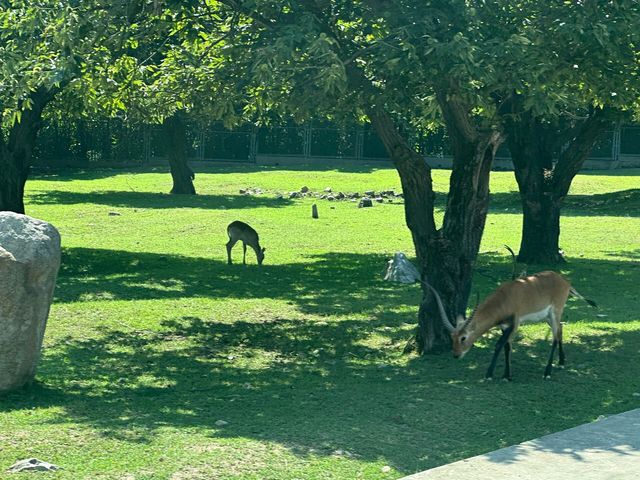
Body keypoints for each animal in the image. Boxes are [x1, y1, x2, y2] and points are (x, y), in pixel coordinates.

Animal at [428, 272, 596, 380]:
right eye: (452, 337)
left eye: (463, 337)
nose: (456, 355)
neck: (504, 298)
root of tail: (564, 280)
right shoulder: (504, 326)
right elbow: (507, 347)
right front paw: (506, 375)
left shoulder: (515, 323)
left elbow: (499, 345)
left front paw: (490, 375)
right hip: (548, 317)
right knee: (560, 329)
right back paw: (561, 362)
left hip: (555, 312)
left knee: (554, 336)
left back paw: (547, 372)